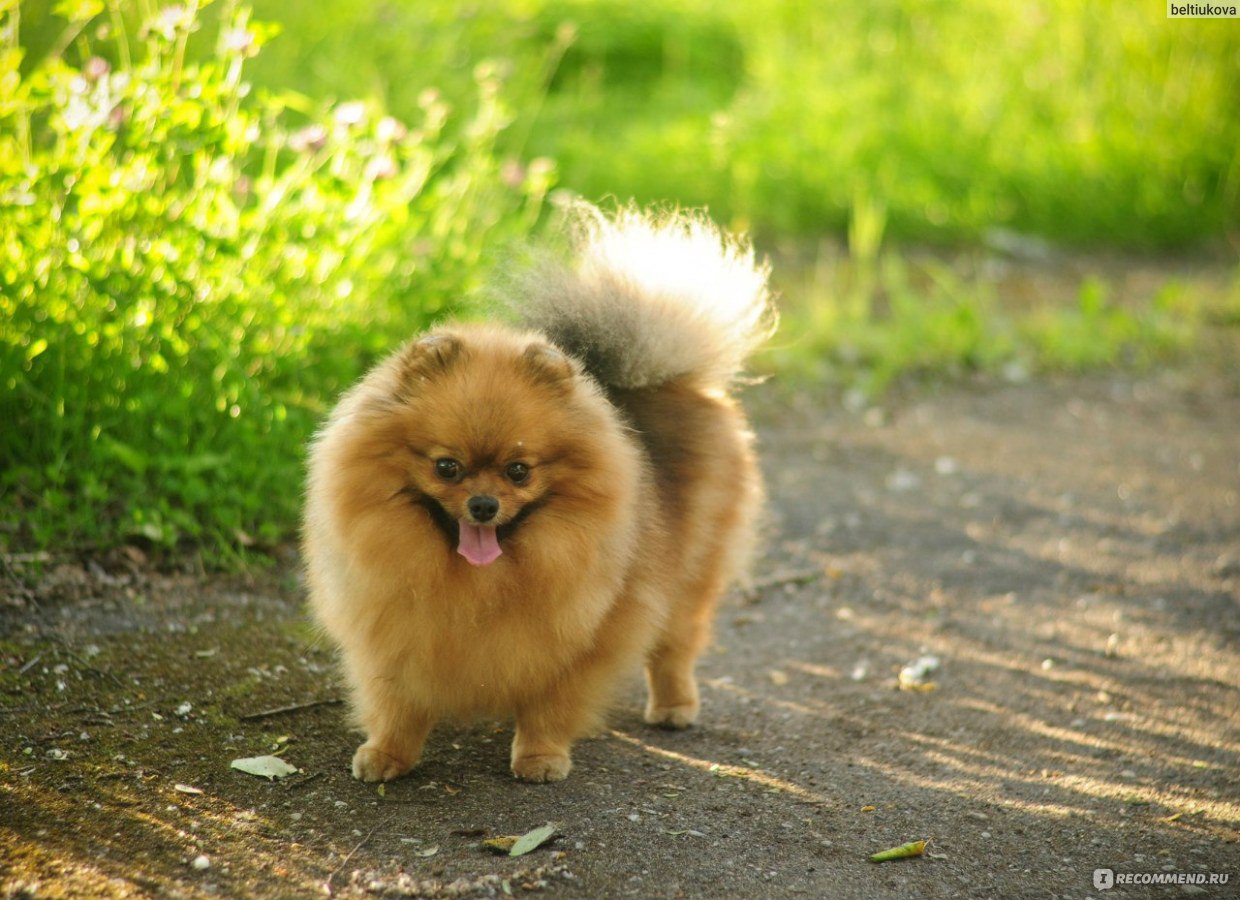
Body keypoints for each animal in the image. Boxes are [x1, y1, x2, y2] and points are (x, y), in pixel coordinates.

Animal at [303, 203, 768, 783]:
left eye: (519, 470)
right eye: (447, 467)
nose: (484, 505)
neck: (476, 583)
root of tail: (660, 379)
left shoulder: (583, 637)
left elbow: (551, 702)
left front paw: (540, 757)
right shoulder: (392, 630)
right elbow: (397, 700)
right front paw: (388, 753)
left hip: (692, 572)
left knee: (675, 645)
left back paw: (674, 705)